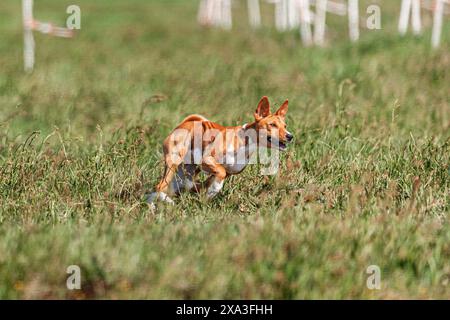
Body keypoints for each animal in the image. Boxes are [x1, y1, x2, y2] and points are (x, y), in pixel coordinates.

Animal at [148, 95, 294, 205]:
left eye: (285, 125)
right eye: (272, 125)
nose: (290, 136)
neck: (244, 141)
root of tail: (184, 123)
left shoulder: (226, 171)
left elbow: (214, 179)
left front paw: (208, 193)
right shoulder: (207, 160)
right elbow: (220, 173)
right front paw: (211, 192)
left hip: (186, 170)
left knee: (173, 186)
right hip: (174, 160)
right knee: (160, 186)